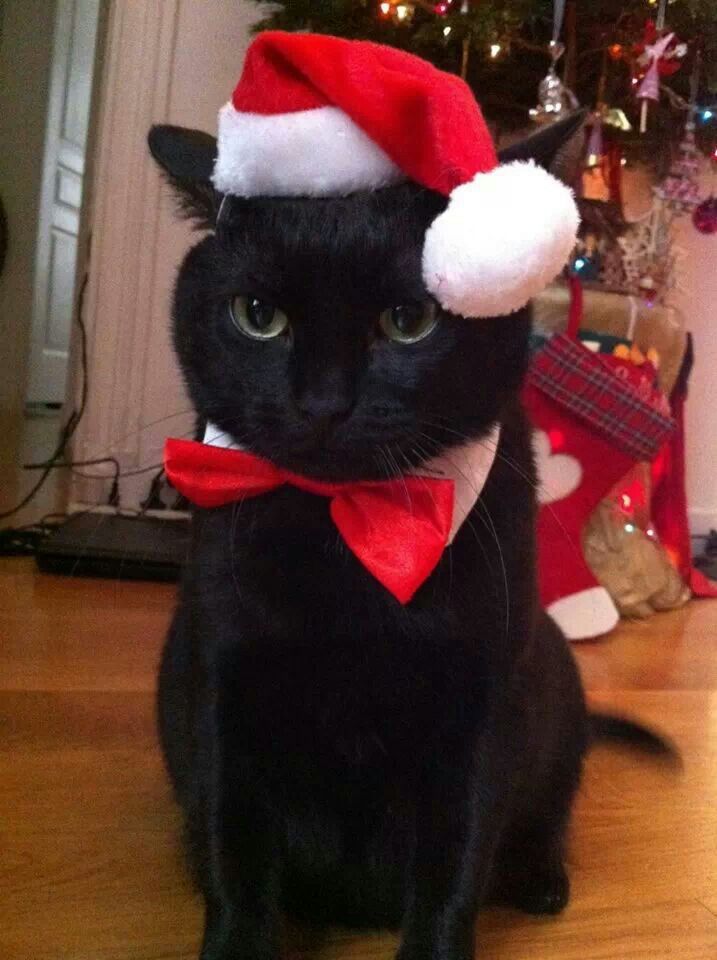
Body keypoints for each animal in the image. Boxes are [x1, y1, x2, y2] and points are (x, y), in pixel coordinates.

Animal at [148, 114, 668, 960]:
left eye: (410, 321)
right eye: (257, 315)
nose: (322, 403)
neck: (352, 532)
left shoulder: (483, 700)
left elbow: (455, 868)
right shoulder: (225, 690)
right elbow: (236, 860)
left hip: (555, 685)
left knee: (545, 813)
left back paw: (540, 880)